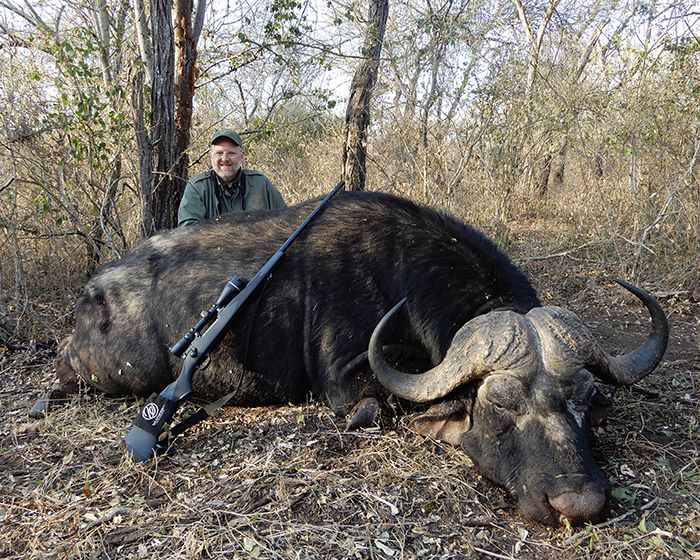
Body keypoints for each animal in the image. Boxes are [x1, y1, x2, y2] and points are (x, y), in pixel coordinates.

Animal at [32, 190, 668, 528]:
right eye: (503, 406)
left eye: (585, 402)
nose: (578, 503)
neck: (401, 276)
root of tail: (91, 294)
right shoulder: (347, 386)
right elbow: (372, 410)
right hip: (115, 372)